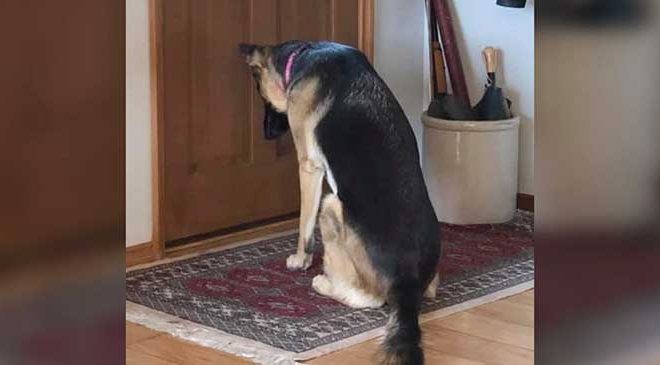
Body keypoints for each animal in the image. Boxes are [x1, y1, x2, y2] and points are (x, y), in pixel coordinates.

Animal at [240, 41, 440, 362]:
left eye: (262, 95)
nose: (266, 133)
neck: (303, 54)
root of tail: (407, 282)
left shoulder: (309, 167)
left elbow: (303, 227)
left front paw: (300, 260)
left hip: (330, 206)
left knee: (367, 297)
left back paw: (325, 282)